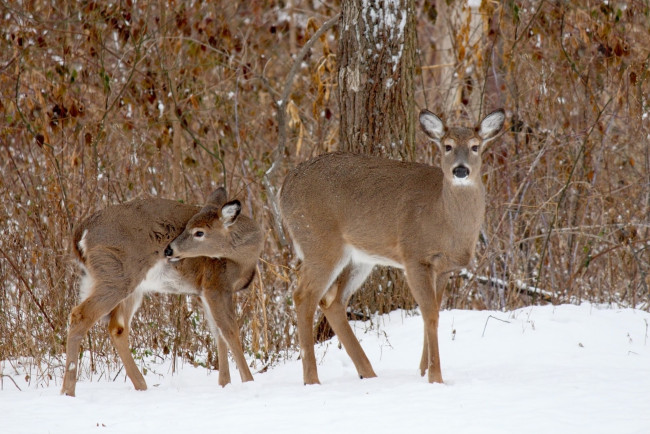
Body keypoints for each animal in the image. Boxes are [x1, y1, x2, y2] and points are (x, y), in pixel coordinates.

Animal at [60, 187, 262, 396]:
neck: (244, 260)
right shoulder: (216, 284)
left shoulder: (203, 291)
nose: (169, 250)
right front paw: (248, 381)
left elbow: (217, 332)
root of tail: (80, 234)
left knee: (117, 327)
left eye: (199, 232)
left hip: (118, 283)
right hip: (116, 274)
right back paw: (68, 391)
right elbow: (230, 331)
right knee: (81, 315)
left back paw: (141, 385)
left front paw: (224, 384)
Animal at [276, 107, 504, 384]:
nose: (460, 171)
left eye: (475, 146)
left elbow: (434, 312)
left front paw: (422, 371)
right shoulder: (414, 256)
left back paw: (368, 373)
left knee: (333, 302)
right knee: (304, 296)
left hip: (359, 257)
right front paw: (435, 376)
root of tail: (284, 188)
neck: (444, 218)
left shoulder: (444, 268)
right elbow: (429, 314)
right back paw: (312, 379)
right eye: (447, 146)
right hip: (319, 242)